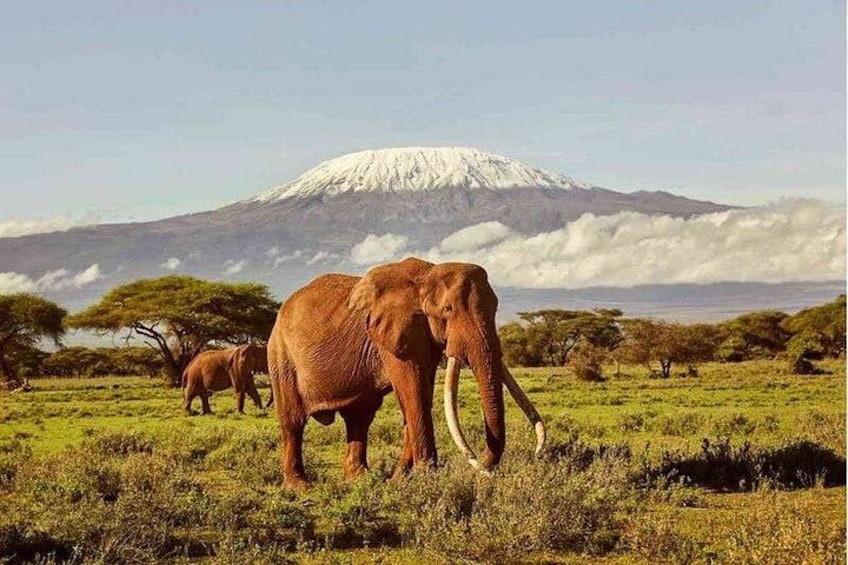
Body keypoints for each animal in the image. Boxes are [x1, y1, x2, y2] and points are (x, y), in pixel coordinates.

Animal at [268, 257, 545, 490]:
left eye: (496, 309)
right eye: (447, 310)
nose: (537, 453)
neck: (428, 274)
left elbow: (421, 391)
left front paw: (401, 478)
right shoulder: (394, 334)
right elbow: (414, 390)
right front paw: (426, 476)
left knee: (359, 418)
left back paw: (360, 479)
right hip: (281, 355)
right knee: (293, 421)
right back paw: (300, 487)